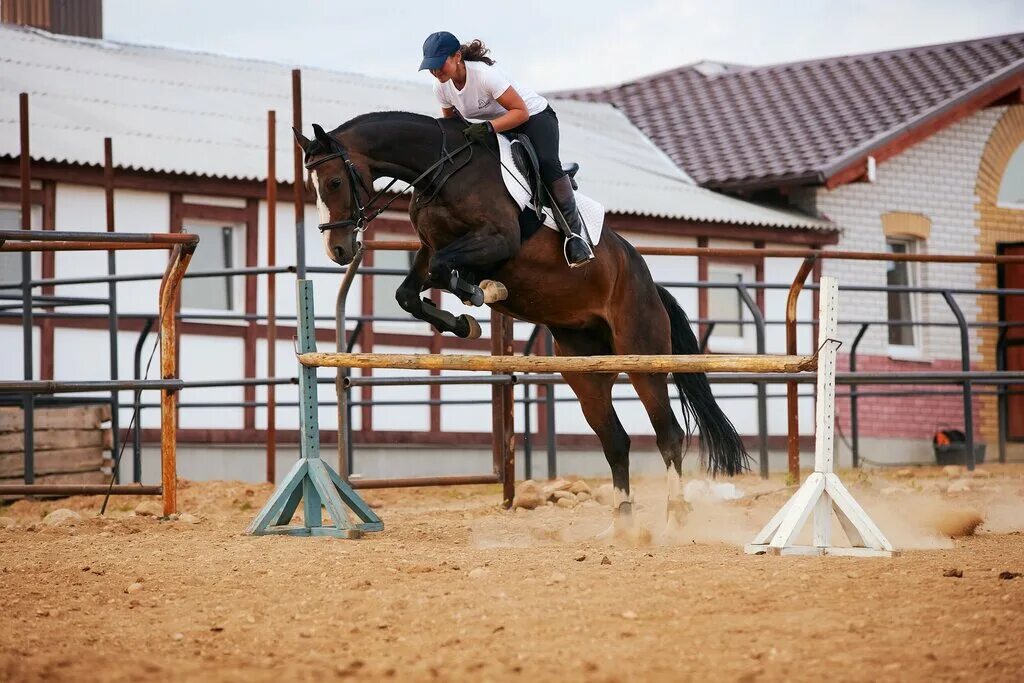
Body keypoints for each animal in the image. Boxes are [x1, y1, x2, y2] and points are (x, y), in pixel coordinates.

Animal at [292, 112, 749, 532]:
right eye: (312, 187)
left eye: (334, 182)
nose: (337, 249)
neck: (441, 171)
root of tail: (650, 283)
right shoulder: (430, 249)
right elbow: (410, 291)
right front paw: (466, 321)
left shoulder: (496, 240)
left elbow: (446, 272)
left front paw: (484, 292)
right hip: (585, 370)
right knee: (615, 442)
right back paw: (622, 525)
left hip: (643, 356)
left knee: (668, 433)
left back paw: (675, 518)